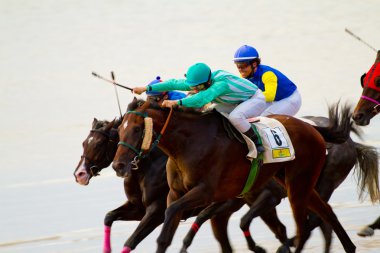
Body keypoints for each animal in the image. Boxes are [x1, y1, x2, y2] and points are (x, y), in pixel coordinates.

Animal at [112, 99, 356, 253]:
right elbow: (164, 235)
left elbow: (171, 211)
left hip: (298, 185)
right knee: (326, 213)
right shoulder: (176, 193)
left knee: (302, 226)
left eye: (136, 129)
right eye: (119, 131)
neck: (187, 144)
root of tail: (312, 127)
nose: (118, 165)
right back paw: (349, 247)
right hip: (295, 182)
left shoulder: (205, 192)